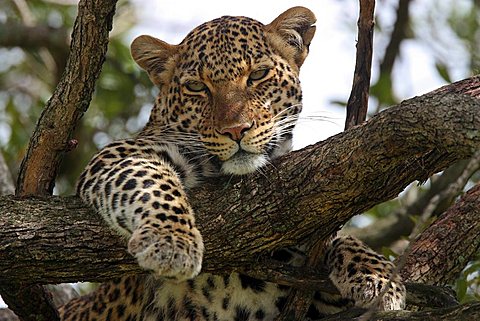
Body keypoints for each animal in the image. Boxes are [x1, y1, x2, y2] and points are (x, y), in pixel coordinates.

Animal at [59, 6, 404, 318]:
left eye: (258, 75)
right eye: (197, 87)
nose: (236, 130)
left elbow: (332, 239)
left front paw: (378, 275)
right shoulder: (119, 154)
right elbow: (151, 184)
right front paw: (172, 242)